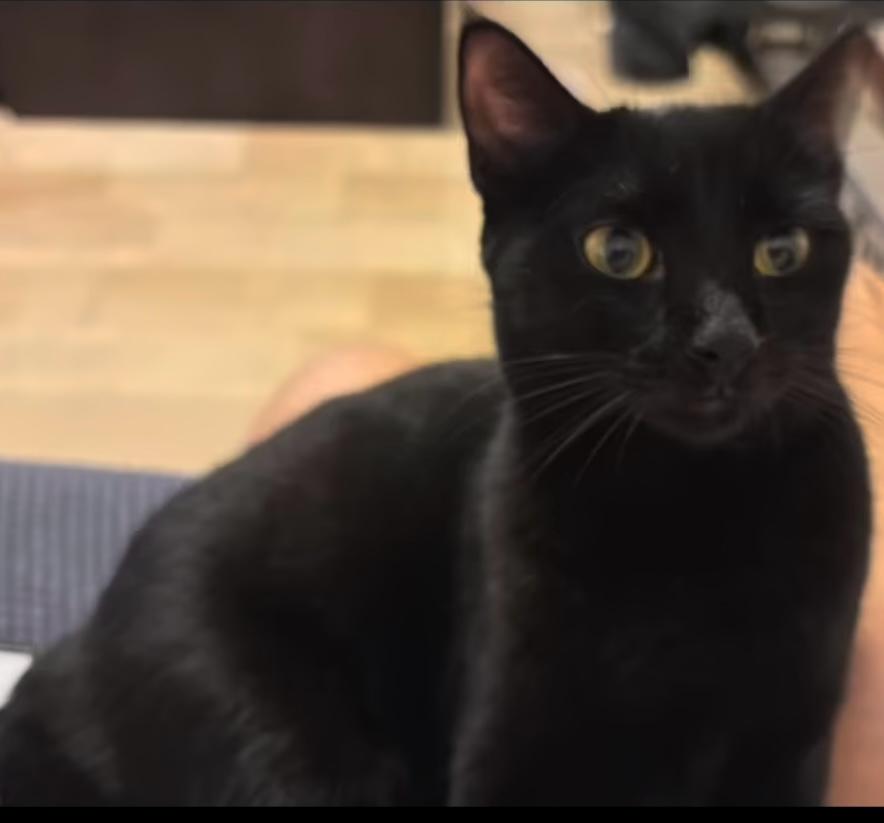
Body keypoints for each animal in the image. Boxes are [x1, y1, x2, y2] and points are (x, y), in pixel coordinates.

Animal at [0, 18, 875, 806]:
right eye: (618, 251)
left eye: (783, 250)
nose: (725, 342)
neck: (685, 520)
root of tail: (76, 647)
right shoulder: (507, 734)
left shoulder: (787, 744)